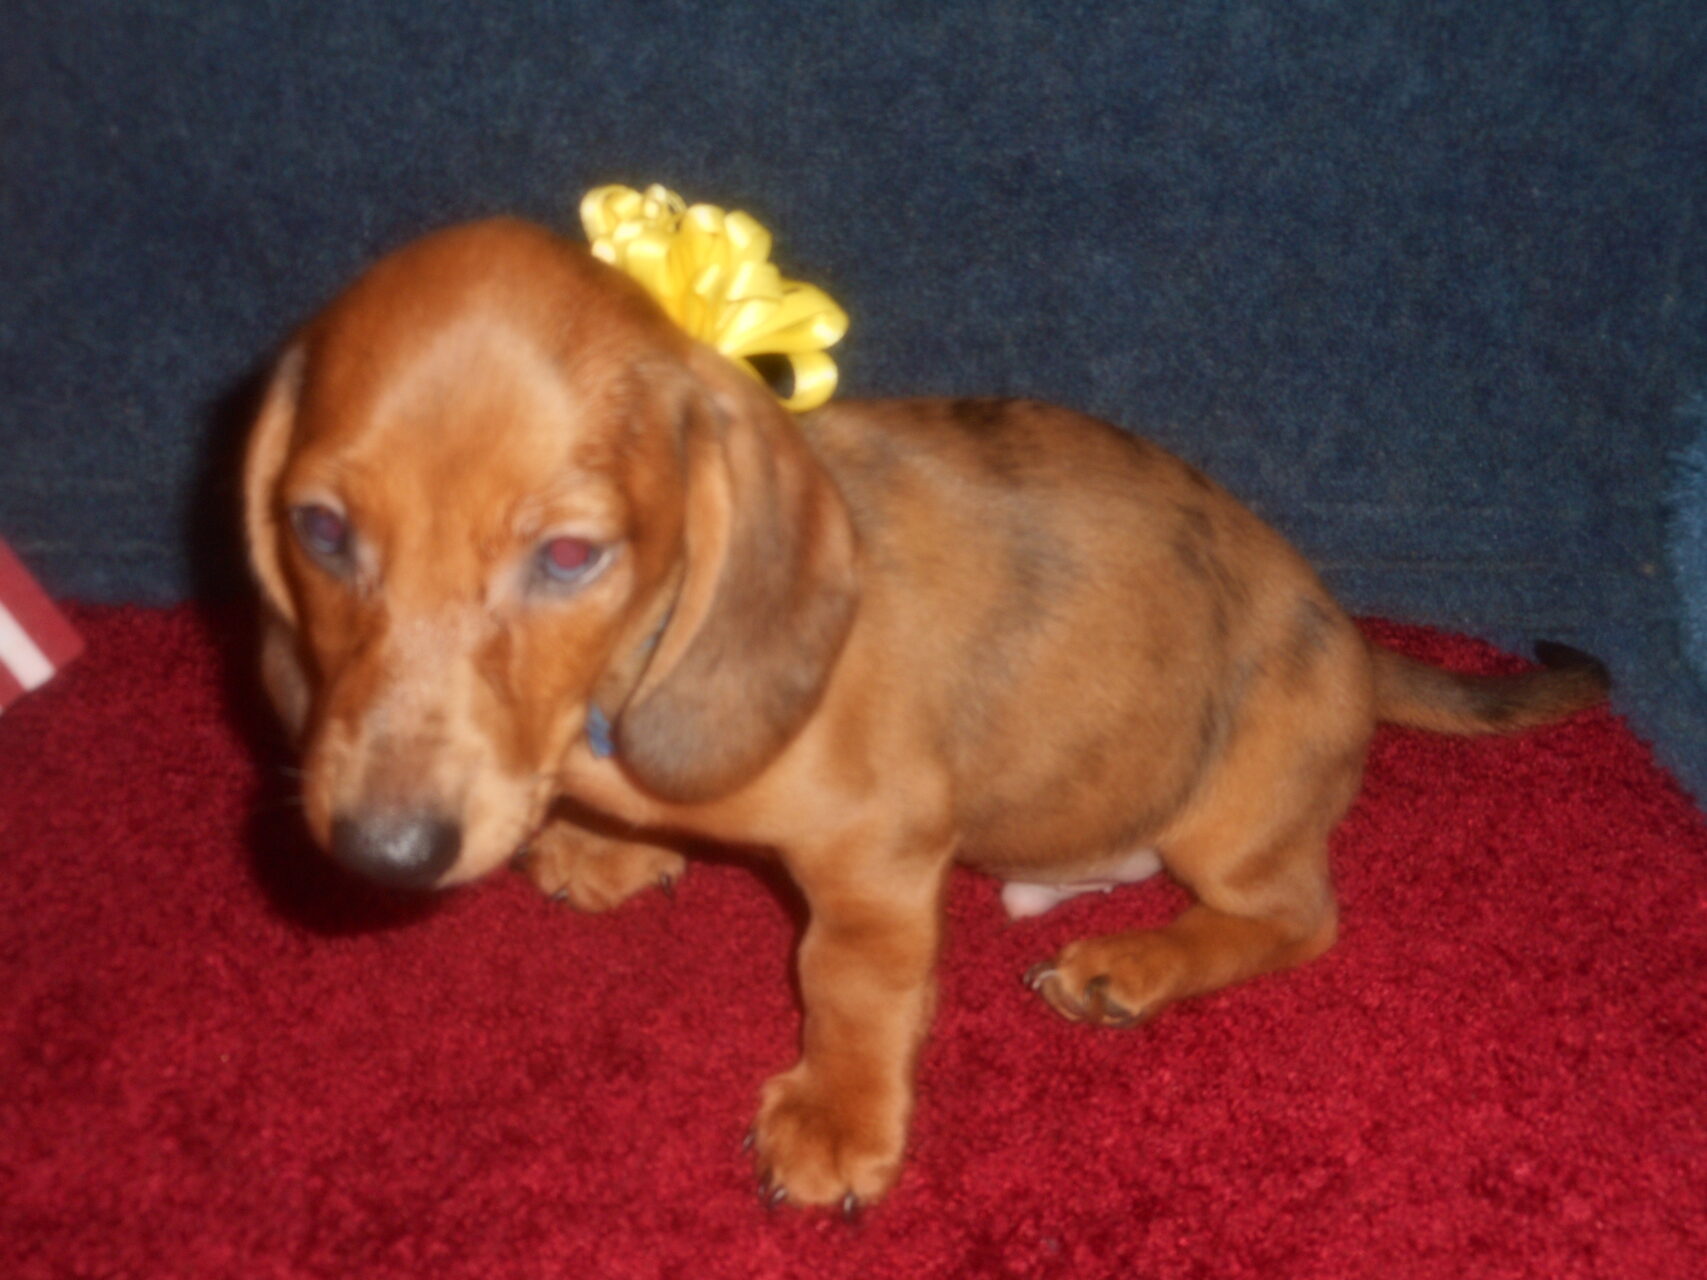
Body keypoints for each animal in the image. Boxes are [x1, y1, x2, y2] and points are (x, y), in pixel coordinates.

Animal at [243, 218, 1609, 1212]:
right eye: (319, 530)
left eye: (571, 556)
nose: (383, 851)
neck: (627, 677)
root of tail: (1352, 639)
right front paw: (618, 844)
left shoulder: (876, 857)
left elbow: (849, 983)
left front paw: (838, 1120)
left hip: (1230, 821)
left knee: (1293, 919)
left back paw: (1136, 961)